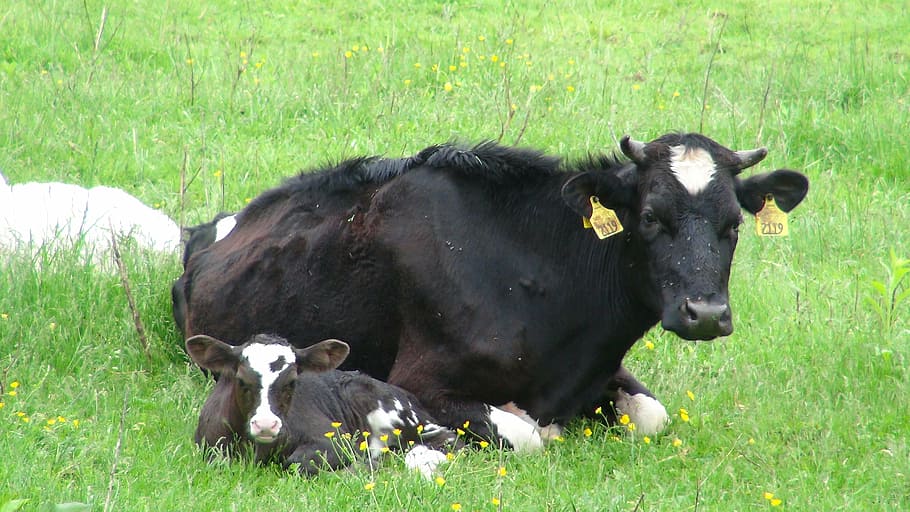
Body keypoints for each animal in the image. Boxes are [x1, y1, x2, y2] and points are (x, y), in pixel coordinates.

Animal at [173, 132, 809, 443]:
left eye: (733, 224)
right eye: (651, 217)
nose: (706, 313)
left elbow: (653, 416)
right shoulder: (419, 380)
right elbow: (527, 434)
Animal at [186, 333, 534, 476]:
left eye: (292, 382)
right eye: (241, 380)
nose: (266, 424)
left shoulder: (334, 442)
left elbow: (299, 464)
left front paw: (363, 464)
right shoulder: (209, 449)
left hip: (403, 417)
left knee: (450, 441)